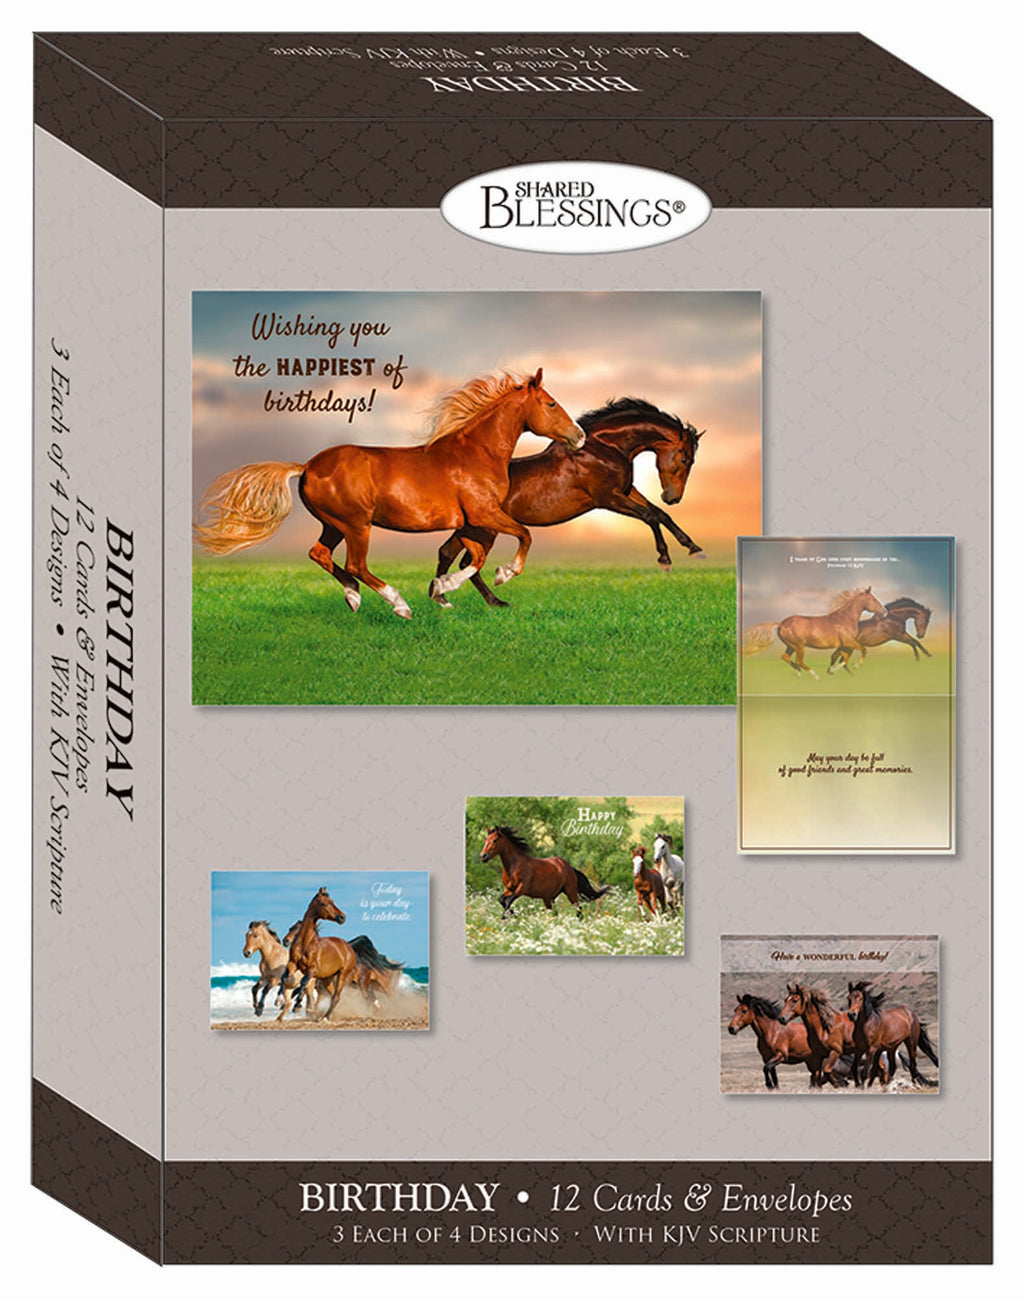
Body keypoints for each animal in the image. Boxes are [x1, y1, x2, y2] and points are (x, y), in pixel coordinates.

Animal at [194, 368, 584, 619]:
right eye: (551, 404)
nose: (579, 436)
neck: (476, 453)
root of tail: (307, 466)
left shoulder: (472, 521)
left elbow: (473, 557)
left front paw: (442, 591)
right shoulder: (483, 514)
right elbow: (520, 537)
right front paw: (492, 578)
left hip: (334, 524)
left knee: (320, 554)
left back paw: (353, 597)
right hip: (356, 524)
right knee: (356, 564)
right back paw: (399, 605)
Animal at [276, 888, 362, 1023]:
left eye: (332, 901)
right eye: (324, 904)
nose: (342, 917)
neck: (306, 943)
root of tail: (349, 947)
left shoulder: (313, 970)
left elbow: (304, 981)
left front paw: (298, 1004)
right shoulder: (293, 964)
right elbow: (284, 977)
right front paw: (279, 1000)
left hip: (342, 975)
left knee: (336, 996)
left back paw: (325, 1017)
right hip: (327, 978)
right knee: (333, 995)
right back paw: (328, 1015)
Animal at [432, 397, 706, 607]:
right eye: (685, 459)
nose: (673, 497)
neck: (604, 448)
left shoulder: (627, 491)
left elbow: (660, 514)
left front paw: (694, 548)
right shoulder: (608, 498)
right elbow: (650, 517)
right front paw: (665, 560)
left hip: (470, 529)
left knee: (447, 553)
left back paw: (446, 598)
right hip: (484, 530)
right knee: (466, 561)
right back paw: (489, 599)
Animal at [479, 825, 610, 921]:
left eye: (495, 840)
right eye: (485, 840)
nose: (483, 856)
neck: (513, 866)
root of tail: (569, 867)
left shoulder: (521, 889)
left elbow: (507, 901)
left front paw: (507, 917)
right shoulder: (509, 889)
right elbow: (501, 900)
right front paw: (512, 914)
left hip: (570, 892)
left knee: (578, 908)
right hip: (548, 897)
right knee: (554, 911)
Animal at [742, 587, 887, 680]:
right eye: (874, 600)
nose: (884, 611)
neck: (845, 618)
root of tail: (781, 624)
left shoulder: (844, 645)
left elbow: (842, 657)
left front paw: (832, 670)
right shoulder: (848, 642)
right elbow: (862, 650)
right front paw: (855, 666)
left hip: (791, 646)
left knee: (786, 657)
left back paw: (798, 673)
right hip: (799, 646)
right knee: (799, 660)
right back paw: (815, 675)